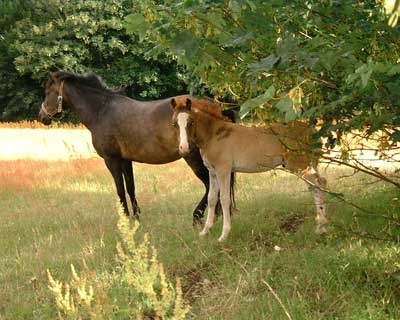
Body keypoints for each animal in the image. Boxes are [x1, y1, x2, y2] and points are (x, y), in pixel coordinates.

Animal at [38, 71, 234, 224]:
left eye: (48, 92)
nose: (42, 116)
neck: (101, 111)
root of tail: (216, 106)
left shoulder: (112, 160)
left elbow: (120, 189)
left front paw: (125, 218)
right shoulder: (125, 160)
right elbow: (130, 187)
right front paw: (137, 217)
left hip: (194, 159)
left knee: (210, 185)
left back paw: (199, 216)